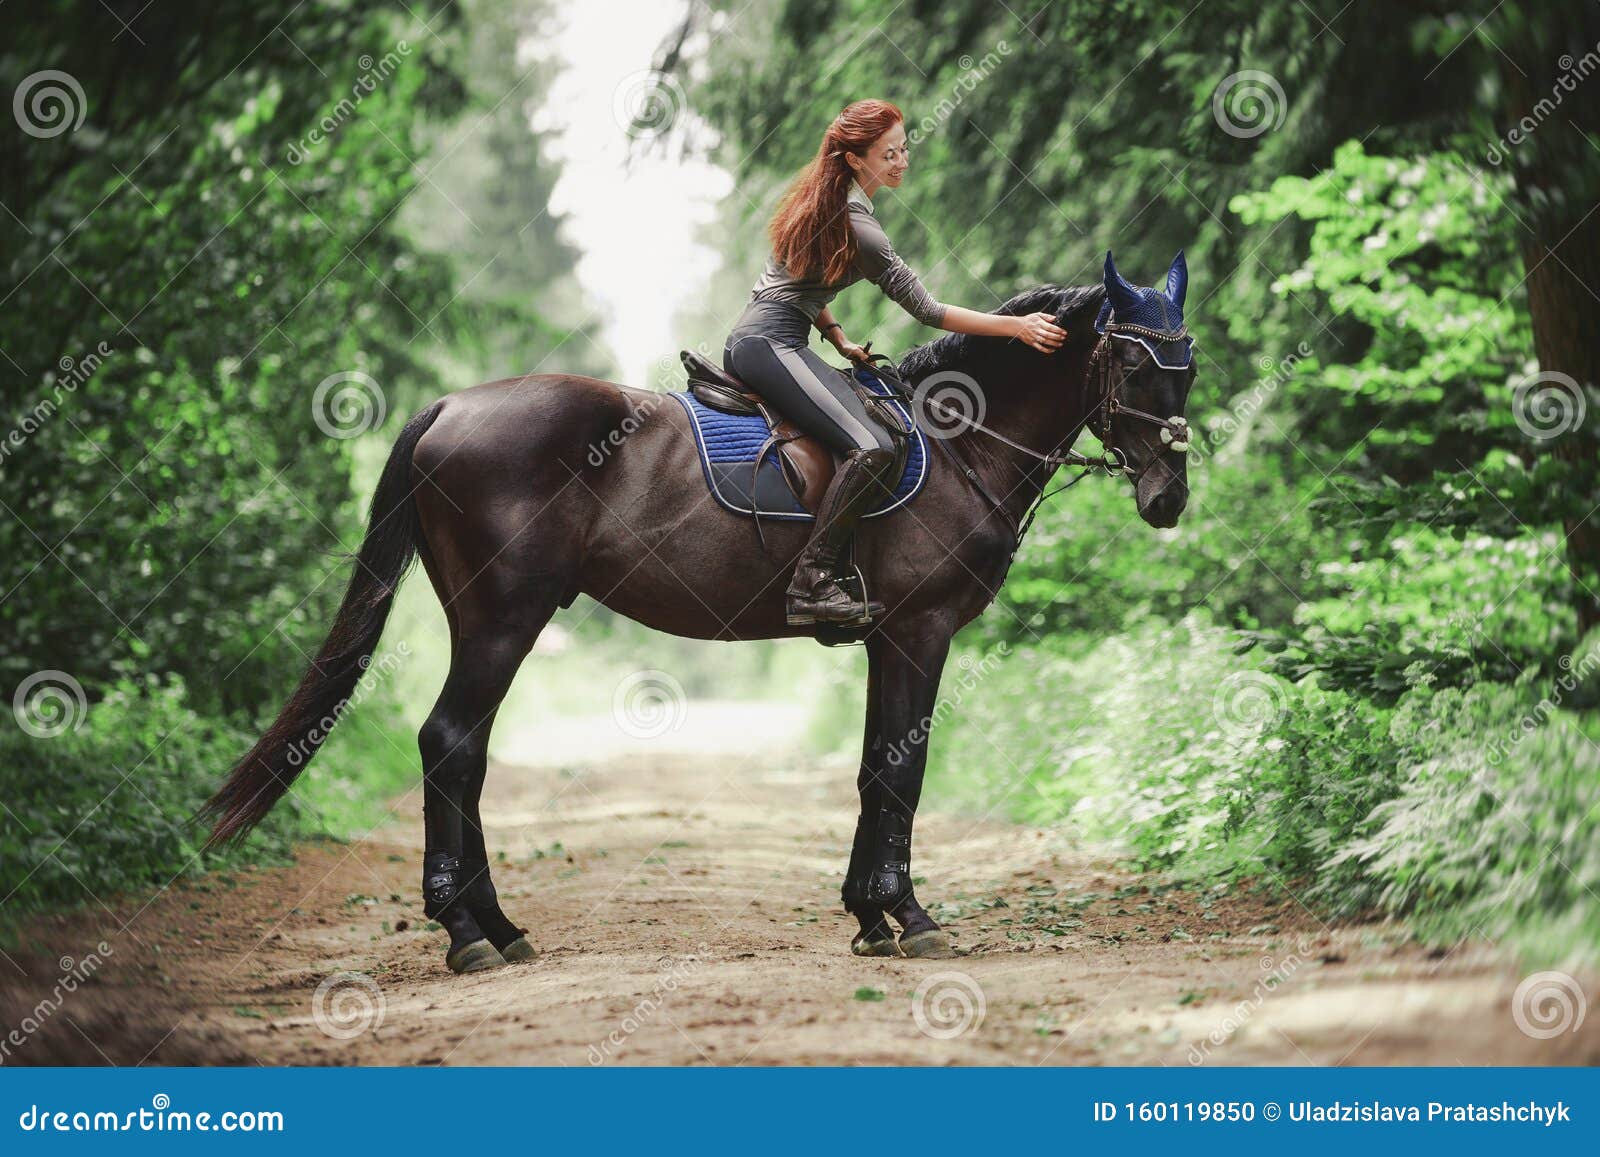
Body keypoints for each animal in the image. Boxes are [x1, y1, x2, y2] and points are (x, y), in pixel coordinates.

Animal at [200, 256, 1196, 979]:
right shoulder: (922, 632)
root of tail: (450, 407)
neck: (958, 443)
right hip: (501, 620)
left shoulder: (886, 638)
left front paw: (868, 915)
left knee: (465, 753)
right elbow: (902, 772)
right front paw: (910, 916)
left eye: (1189, 365)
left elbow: (872, 769)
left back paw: (499, 925)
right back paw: (468, 934)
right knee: (449, 744)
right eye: (1134, 362)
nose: (1169, 497)